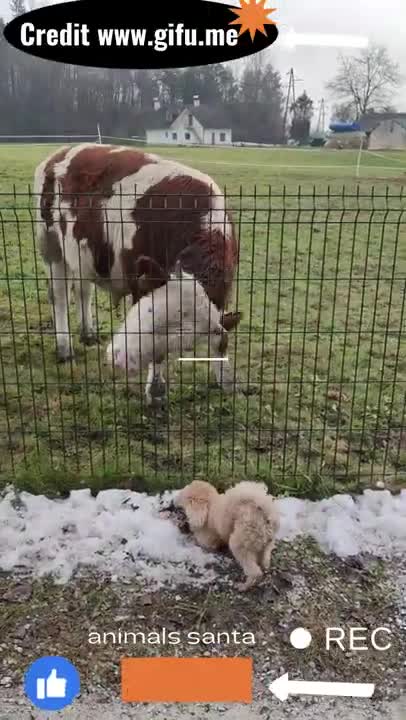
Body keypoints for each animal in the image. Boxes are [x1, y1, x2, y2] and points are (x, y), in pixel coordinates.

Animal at [33, 142, 240, 401]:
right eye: (145, 314)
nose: (118, 358)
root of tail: (60, 152)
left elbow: (221, 339)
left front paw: (225, 379)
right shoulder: (138, 281)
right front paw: (156, 391)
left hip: (82, 252)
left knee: (83, 290)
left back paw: (88, 333)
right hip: (50, 244)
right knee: (59, 296)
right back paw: (64, 348)